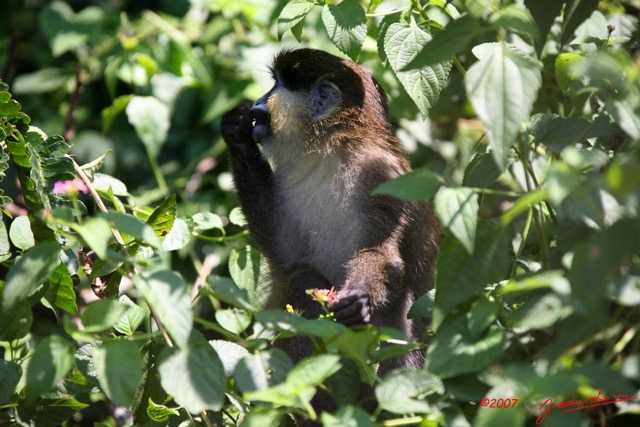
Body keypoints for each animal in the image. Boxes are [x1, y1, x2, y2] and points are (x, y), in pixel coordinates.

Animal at [220, 47, 440, 418]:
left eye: (278, 84)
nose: (260, 101)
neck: (331, 148)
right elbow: (286, 251)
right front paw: (238, 137)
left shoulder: (382, 175)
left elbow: (382, 254)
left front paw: (359, 299)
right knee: (303, 278)